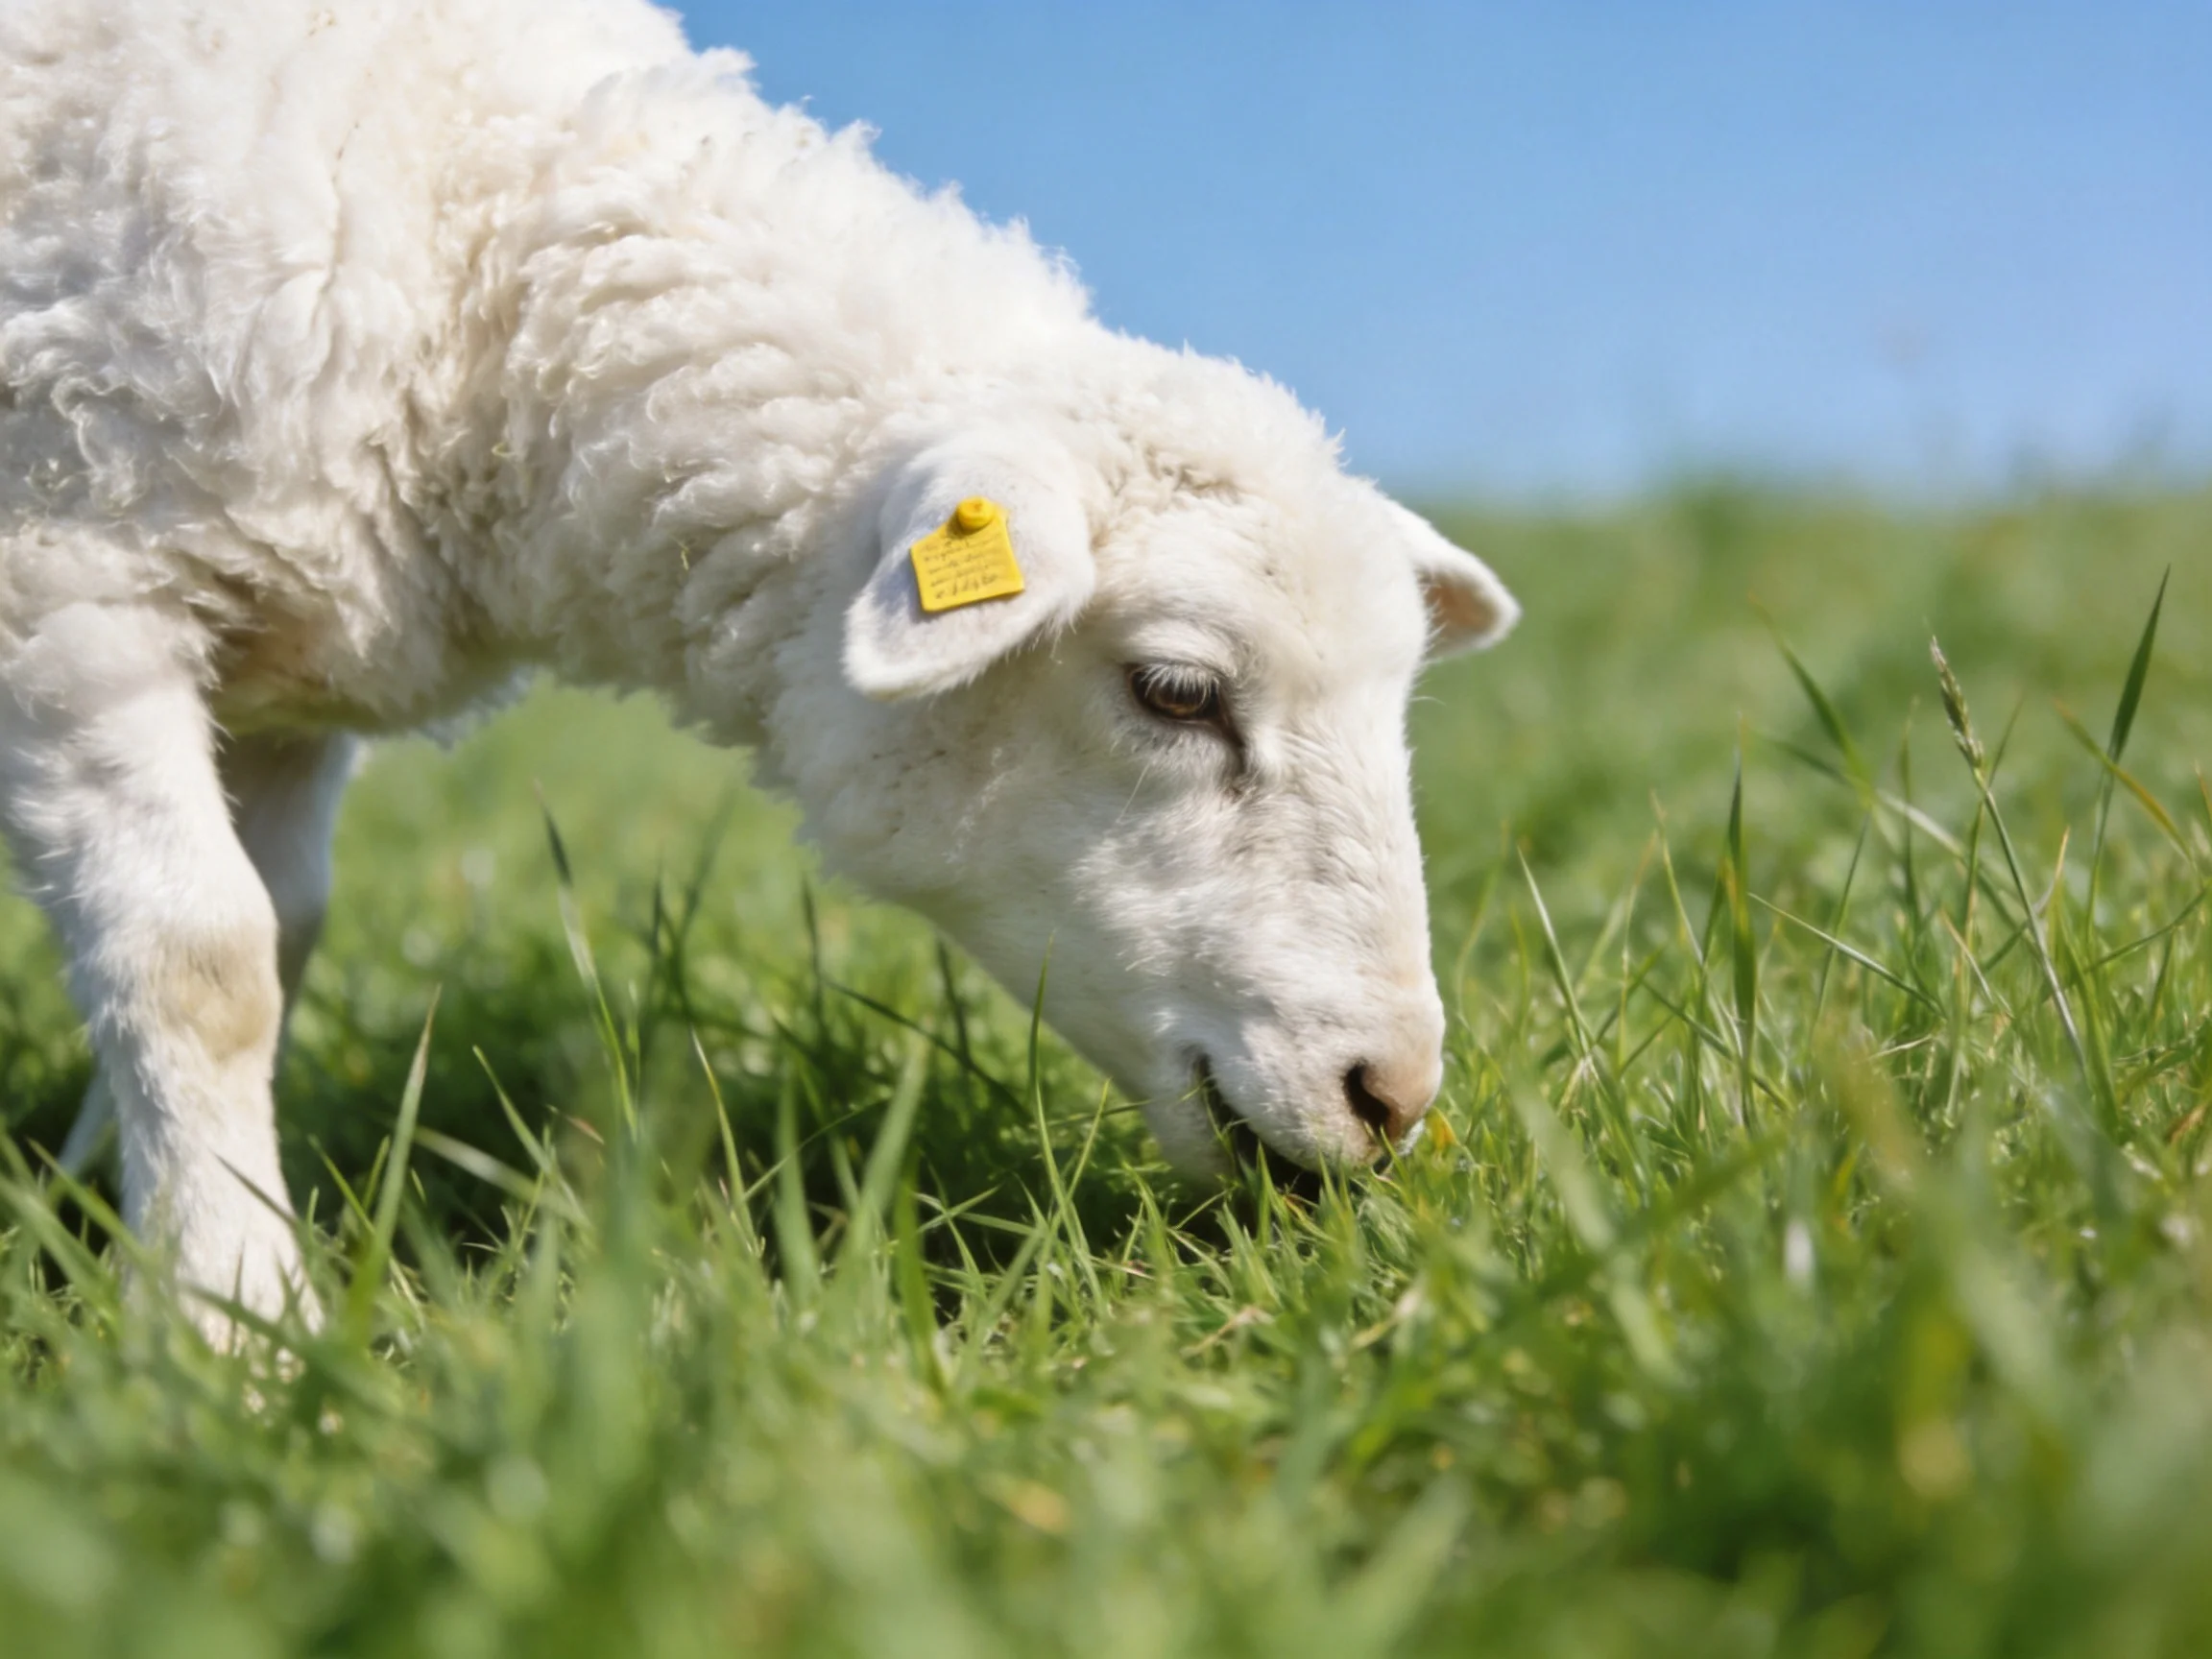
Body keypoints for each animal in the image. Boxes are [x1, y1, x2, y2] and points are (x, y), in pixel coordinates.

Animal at [0, 0, 1518, 1334]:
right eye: (1177, 693)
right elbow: (204, 963)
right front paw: (230, 1316)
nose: (1391, 1096)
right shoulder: (76, 594)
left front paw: (91, 1206)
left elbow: (278, 932)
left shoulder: (284, 672)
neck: (476, 215)